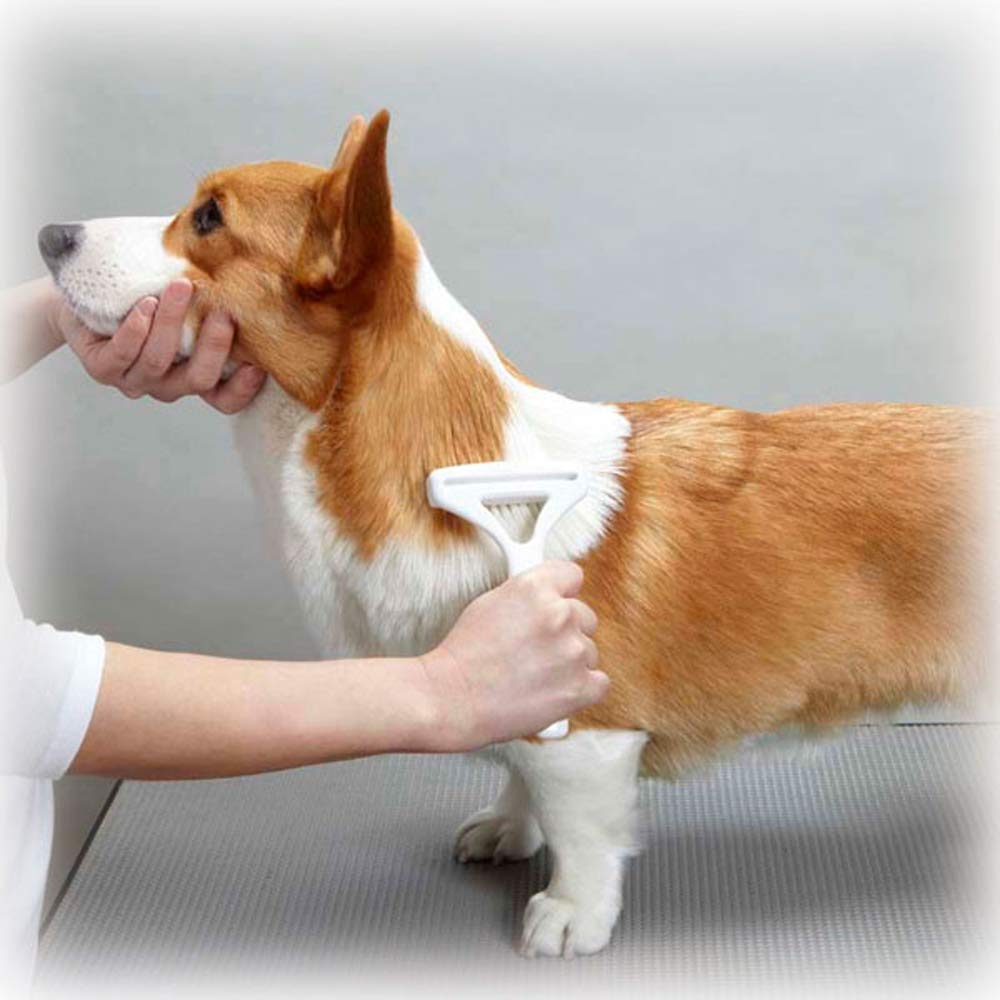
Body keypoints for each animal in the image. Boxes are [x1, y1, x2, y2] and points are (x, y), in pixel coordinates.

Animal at [39, 110, 987, 958]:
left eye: (208, 218)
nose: (48, 235)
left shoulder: (592, 733)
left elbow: (581, 830)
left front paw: (569, 919)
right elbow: (517, 769)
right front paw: (506, 828)